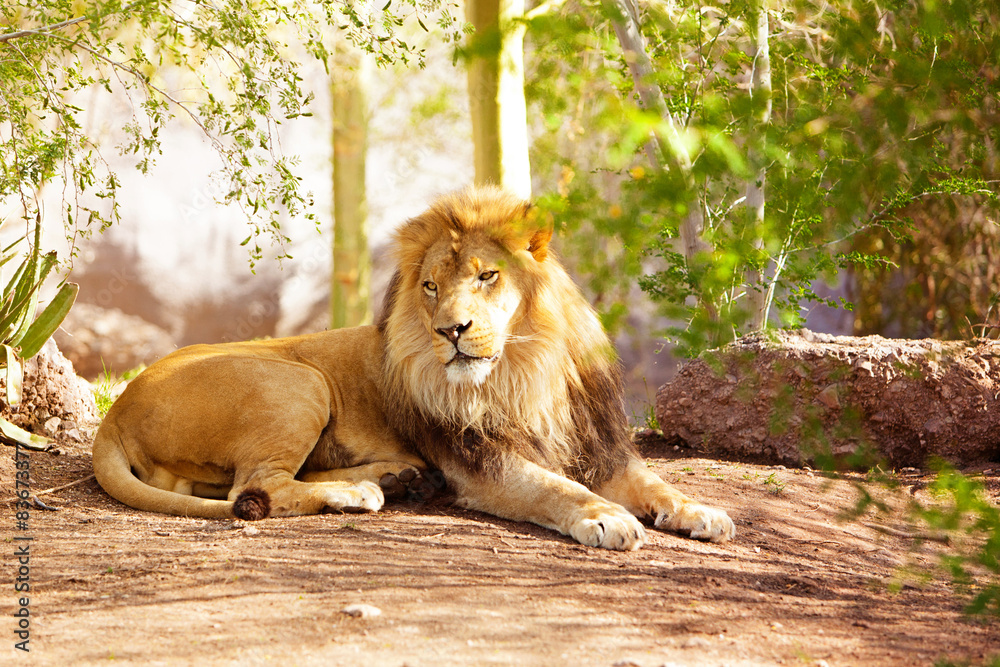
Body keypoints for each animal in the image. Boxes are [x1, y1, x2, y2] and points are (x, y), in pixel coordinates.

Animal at [92, 186, 734, 549]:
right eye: (430, 287)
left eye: (486, 276)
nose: (452, 330)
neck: (526, 372)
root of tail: (115, 410)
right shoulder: (482, 464)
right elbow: (556, 487)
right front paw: (604, 517)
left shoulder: (599, 447)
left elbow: (658, 484)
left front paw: (703, 512)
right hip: (297, 381)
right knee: (254, 487)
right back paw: (357, 494)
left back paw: (394, 479)